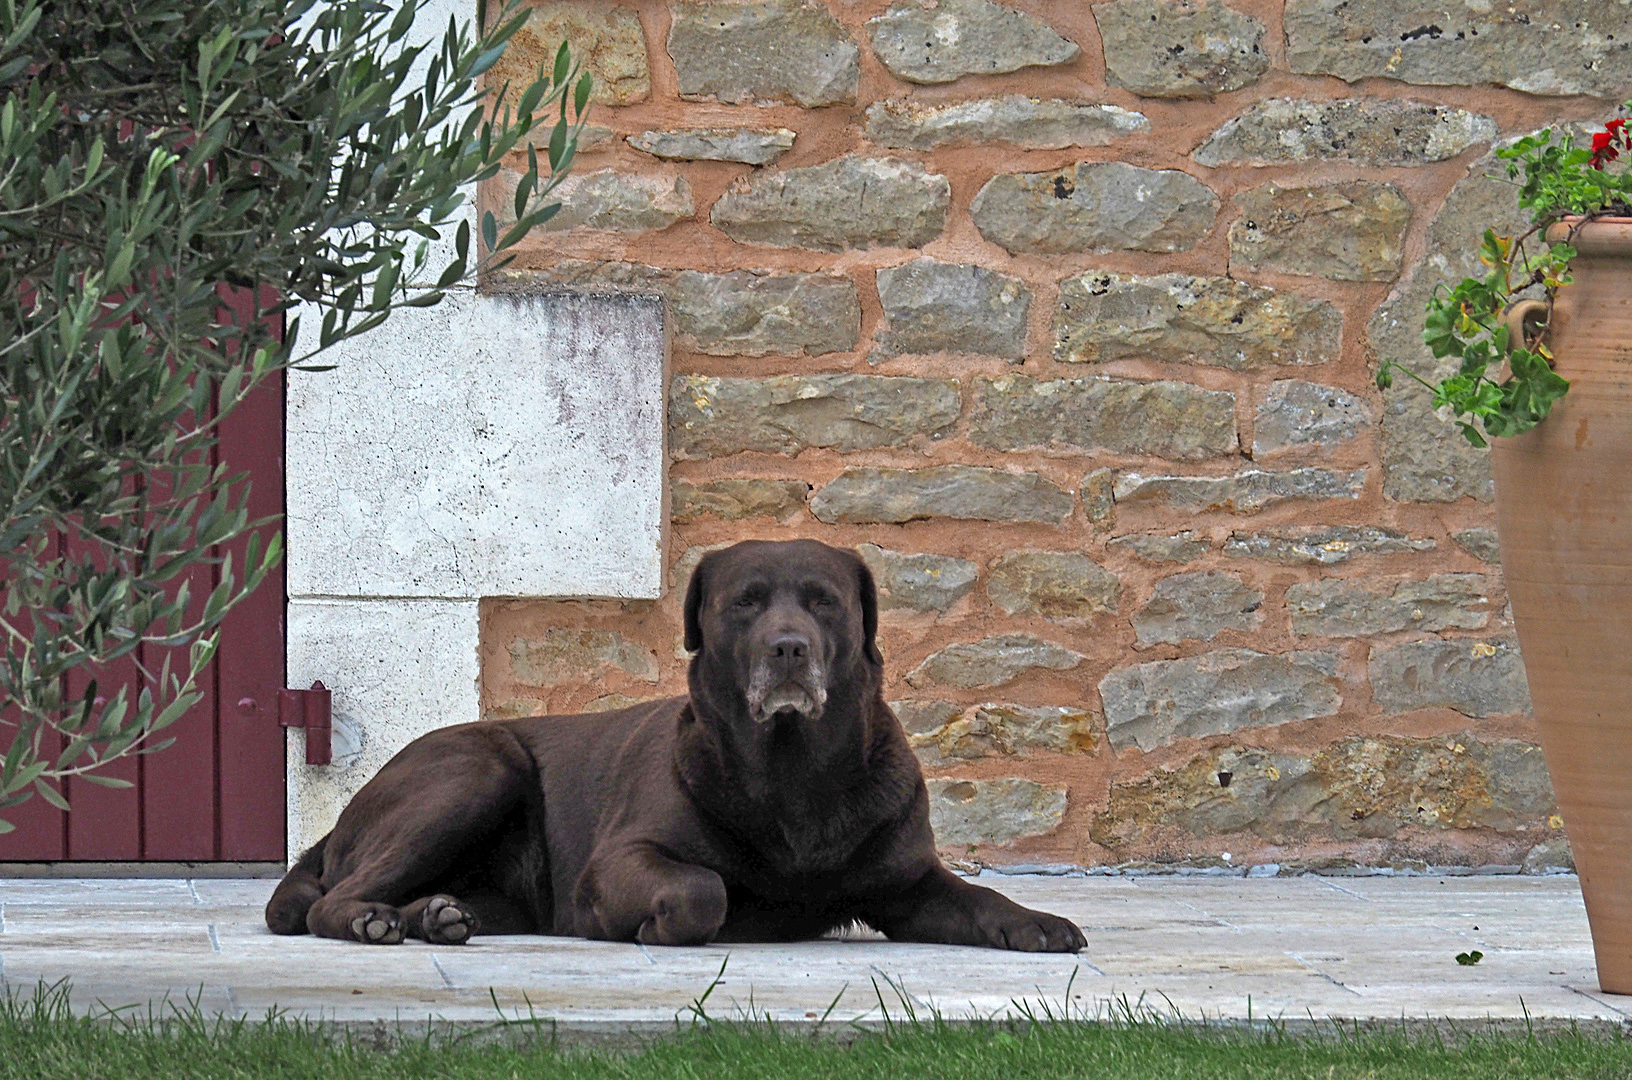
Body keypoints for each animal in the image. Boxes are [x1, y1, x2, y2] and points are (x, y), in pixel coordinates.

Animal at [267, 541, 1083, 959]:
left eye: (824, 601)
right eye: (745, 601)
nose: (789, 648)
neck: (794, 778)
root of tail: (339, 823)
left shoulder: (907, 882)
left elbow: (975, 899)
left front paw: (1037, 922)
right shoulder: (620, 859)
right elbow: (701, 888)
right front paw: (655, 924)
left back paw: (434, 917)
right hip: (475, 770)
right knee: (330, 899)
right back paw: (375, 922)